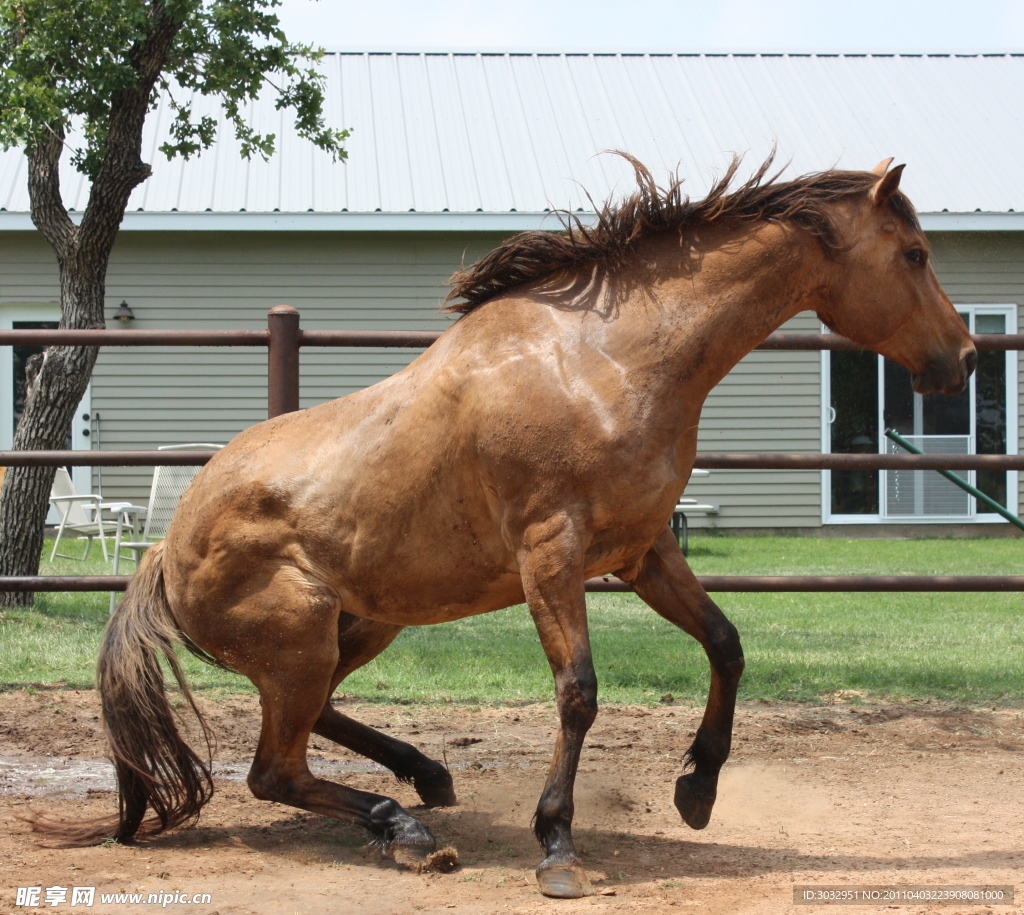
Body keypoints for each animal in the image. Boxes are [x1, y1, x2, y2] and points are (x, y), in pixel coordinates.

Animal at [83, 155, 970, 896]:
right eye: (914, 255)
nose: (961, 358)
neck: (602, 360)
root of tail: (164, 550)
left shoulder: (642, 551)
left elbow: (725, 642)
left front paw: (696, 789)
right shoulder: (552, 552)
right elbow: (578, 691)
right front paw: (557, 847)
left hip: (363, 623)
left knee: (314, 724)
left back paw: (426, 779)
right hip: (301, 638)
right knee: (274, 770)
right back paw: (405, 827)